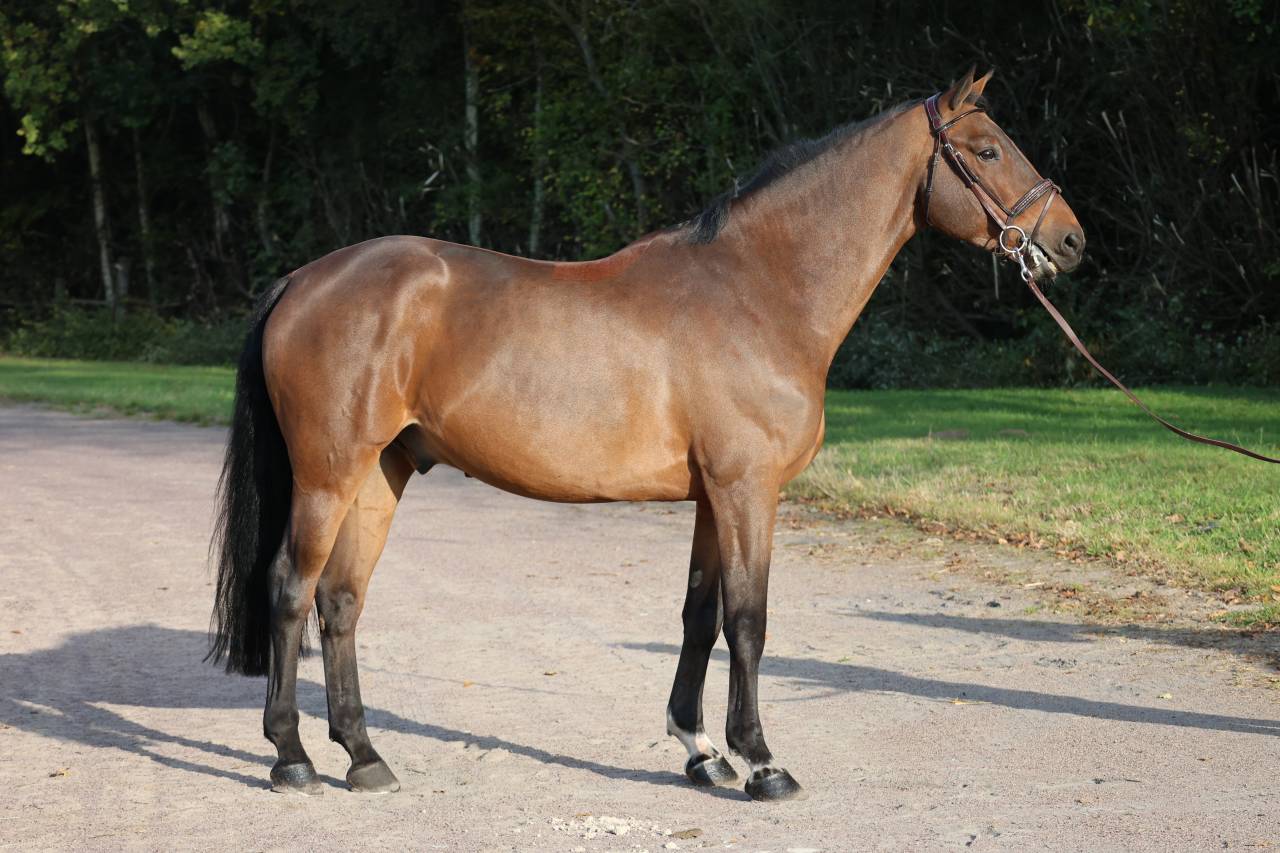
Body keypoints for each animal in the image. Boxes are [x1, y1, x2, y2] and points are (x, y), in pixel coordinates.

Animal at [207, 68, 1085, 802]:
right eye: (987, 148)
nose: (1072, 240)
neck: (758, 290)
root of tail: (303, 279)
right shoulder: (746, 489)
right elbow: (748, 619)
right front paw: (763, 761)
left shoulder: (712, 495)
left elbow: (700, 615)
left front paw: (701, 750)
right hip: (329, 475)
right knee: (291, 589)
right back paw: (292, 758)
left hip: (380, 474)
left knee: (341, 600)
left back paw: (364, 755)